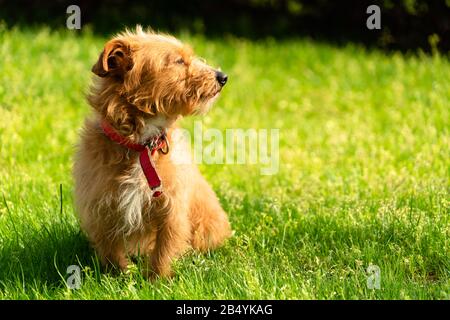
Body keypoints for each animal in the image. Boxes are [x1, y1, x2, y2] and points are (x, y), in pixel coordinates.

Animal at [74, 27, 232, 278]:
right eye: (178, 61)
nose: (223, 76)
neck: (142, 146)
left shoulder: (172, 209)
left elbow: (164, 250)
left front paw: (156, 281)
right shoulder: (100, 207)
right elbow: (110, 250)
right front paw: (121, 276)